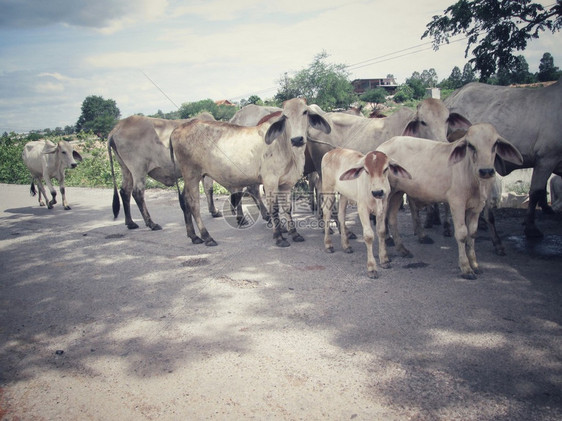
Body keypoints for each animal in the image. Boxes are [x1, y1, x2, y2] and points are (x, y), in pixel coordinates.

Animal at [168, 97, 330, 248]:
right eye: (285, 116)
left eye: (305, 112)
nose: (297, 139)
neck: (286, 147)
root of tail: (178, 129)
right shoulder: (270, 181)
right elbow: (274, 208)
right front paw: (279, 237)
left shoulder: (286, 184)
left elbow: (287, 208)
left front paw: (294, 233)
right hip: (192, 175)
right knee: (193, 203)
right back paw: (206, 236)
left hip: (191, 177)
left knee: (184, 199)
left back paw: (194, 236)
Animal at [320, 148, 412, 278]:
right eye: (366, 171)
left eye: (385, 169)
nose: (378, 192)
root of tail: (331, 152)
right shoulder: (362, 208)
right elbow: (368, 236)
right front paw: (372, 268)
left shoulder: (383, 207)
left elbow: (381, 232)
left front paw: (384, 260)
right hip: (328, 190)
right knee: (326, 213)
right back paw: (328, 244)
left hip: (344, 194)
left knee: (341, 215)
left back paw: (346, 245)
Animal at [374, 123, 524, 278]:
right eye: (471, 145)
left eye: (495, 144)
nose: (486, 171)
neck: (471, 175)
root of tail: (382, 147)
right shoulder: (457, 203)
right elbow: (462, 234)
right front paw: (465, 267)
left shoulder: (477, 207)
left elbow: (472, 234)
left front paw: (475, 265)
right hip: (384, 195)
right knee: (381, 225)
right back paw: (384, 259)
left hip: (397, 193)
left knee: (392, 219)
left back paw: (402, 249)